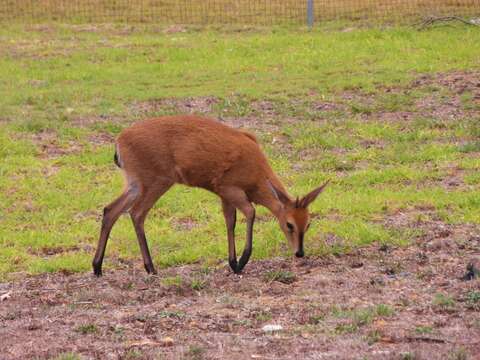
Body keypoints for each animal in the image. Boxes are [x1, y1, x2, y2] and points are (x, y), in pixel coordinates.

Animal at [92, 115, 328, 276]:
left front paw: (232, 263)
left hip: (135, 182)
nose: (299, 252)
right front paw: (242, 261)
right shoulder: (229, 187)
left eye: (308, 223)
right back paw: (151, 268)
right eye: (289, 224)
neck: (256, 177)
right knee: (137, 213)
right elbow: (250, 212)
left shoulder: (224, 195)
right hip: (156, 180)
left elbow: (230, 221)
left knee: (110, 209)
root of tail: (119, 142)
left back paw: (97, 267)